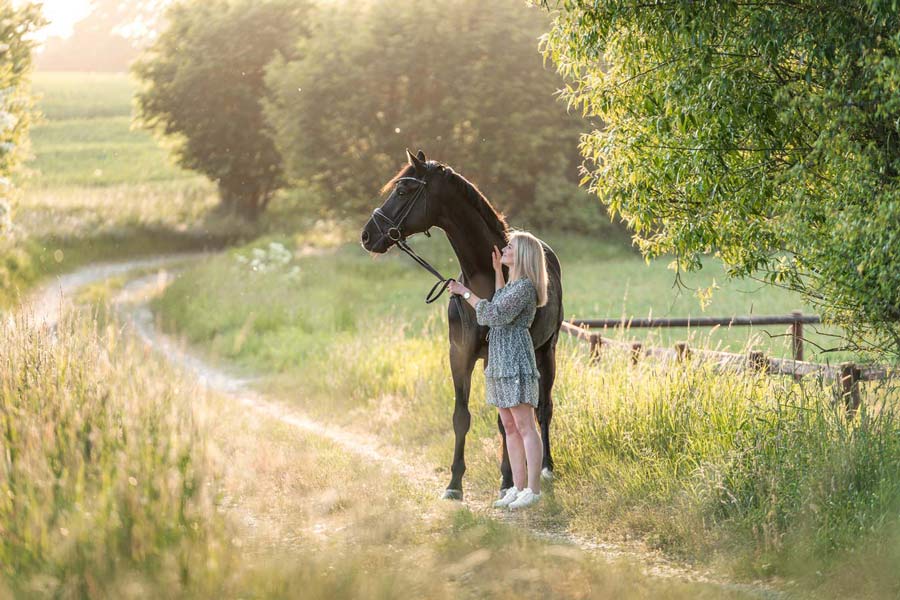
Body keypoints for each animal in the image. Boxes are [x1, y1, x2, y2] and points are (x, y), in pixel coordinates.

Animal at [360, 150, 564, 502]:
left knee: (543, 410)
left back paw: (544, 468)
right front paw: (455, 483)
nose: (367, 235)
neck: (484, 279)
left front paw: (506, 480)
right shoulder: (460, 355)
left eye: (402, 190)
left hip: (546, 351)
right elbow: (462, 417)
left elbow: (507, 419)